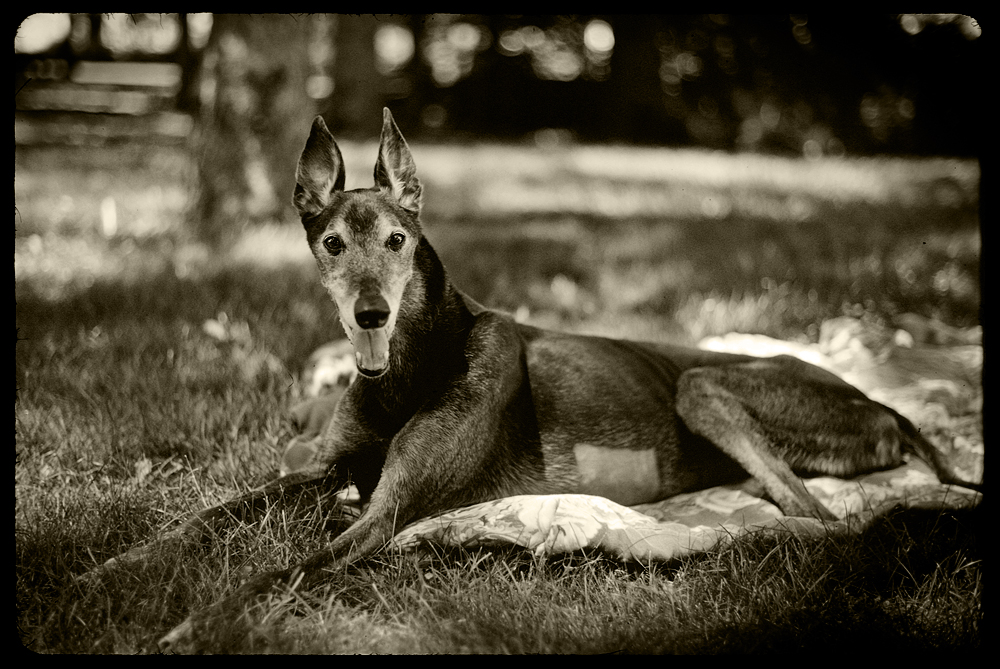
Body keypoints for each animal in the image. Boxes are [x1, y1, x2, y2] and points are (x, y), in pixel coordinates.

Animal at [111, 108, 960, 648]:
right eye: (331, 244)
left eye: (397, 240)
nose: (370, 313)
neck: (414, 366)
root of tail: (885, 403)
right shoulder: (320, 471)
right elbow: (203, 516)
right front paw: (115, 563)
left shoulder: (387, 513)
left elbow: (284, 567)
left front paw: (192, 621)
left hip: (706, 386)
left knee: (816, 513)